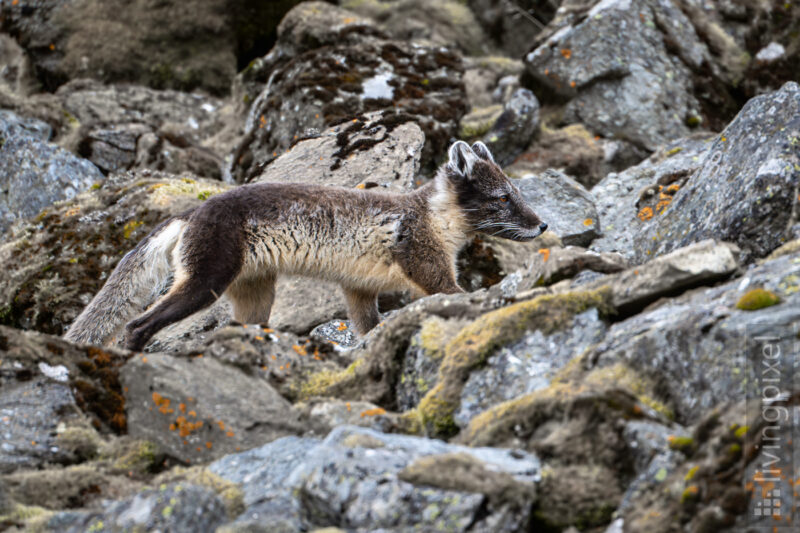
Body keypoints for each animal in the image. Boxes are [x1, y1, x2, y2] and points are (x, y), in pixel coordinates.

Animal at [65, 139, 548, 352]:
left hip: (255, 295)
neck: (433, 217)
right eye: (503, 198)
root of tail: (191, 211)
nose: (543, 225)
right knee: (136, 324)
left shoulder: (359, 290)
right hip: (204, 282)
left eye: (516, 192)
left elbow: (367, 328)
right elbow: (457, 294)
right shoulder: (430, 271)